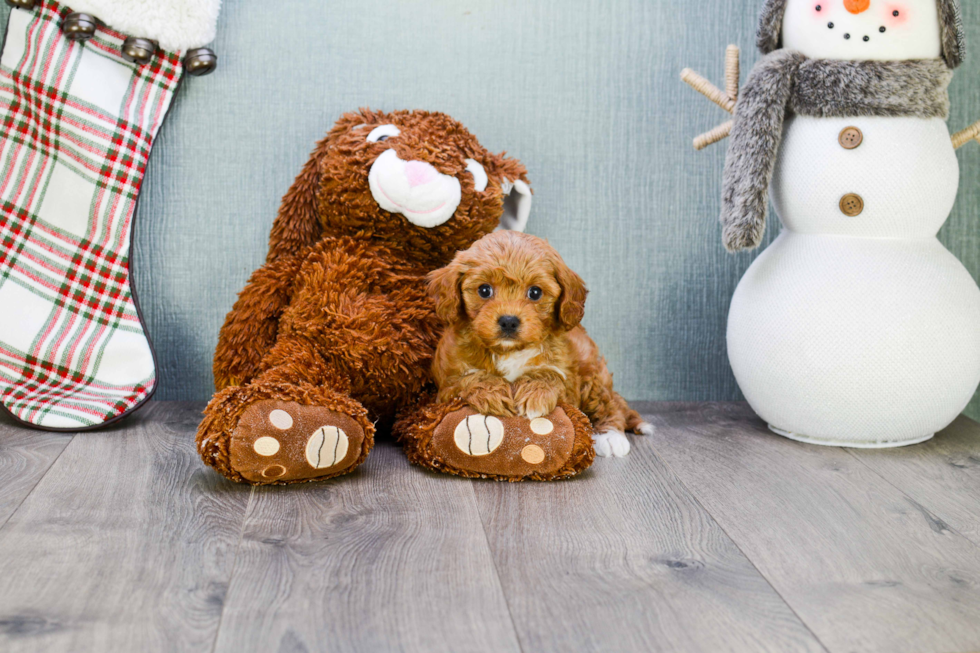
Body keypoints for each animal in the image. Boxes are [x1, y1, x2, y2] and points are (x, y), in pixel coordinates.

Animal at [428, 232, 652, 456]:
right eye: (484, 290)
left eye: (535, 292)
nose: (508, 321)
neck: (508, 350)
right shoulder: (446, 385)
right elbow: (468, 378)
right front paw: (494, 393)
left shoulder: (568, 384)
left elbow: (550, 375)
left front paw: (535, 393)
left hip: (593, 372)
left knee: (610, 403)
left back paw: (612, 436)